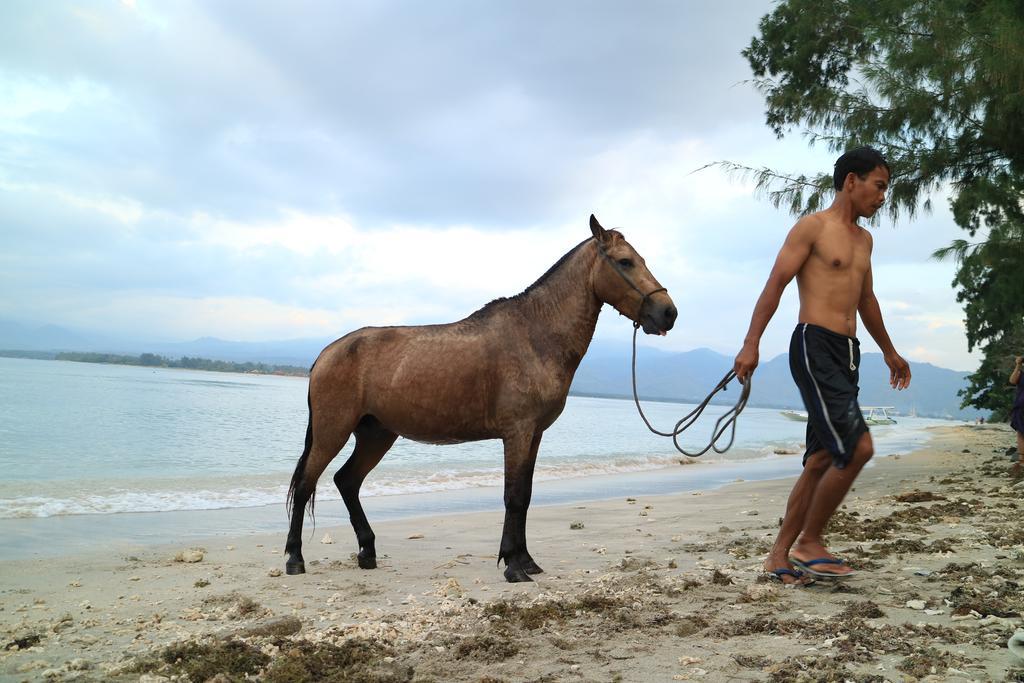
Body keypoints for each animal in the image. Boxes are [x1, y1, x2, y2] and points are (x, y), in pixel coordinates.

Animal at [284, 214, 675, 581]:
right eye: (625, 261)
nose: (668, 312)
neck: (535, 334)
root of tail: (326, 353)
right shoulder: (517, 432)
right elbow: (513, 496)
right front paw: (513, 566)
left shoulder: (534, 435)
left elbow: (525, 496)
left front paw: (525, 560)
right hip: (333, 431)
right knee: (306, 485)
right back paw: (295, 559)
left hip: (376, 434)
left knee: (346, 481)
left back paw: (367, 552)